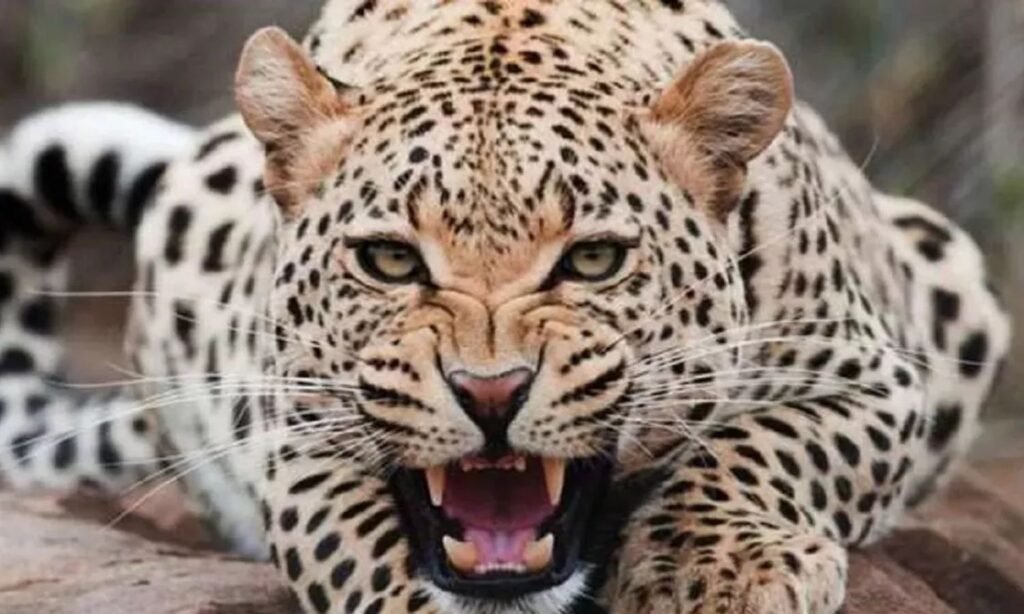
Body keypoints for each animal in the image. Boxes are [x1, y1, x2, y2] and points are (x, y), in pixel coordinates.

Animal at [0, 1, 1011, 613]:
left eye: (595, 260)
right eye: (389, 260)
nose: (491, 393)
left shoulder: (875, 377)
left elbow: (762, 447)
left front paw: (715, 572)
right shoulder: (296, 438)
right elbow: (365, 553)